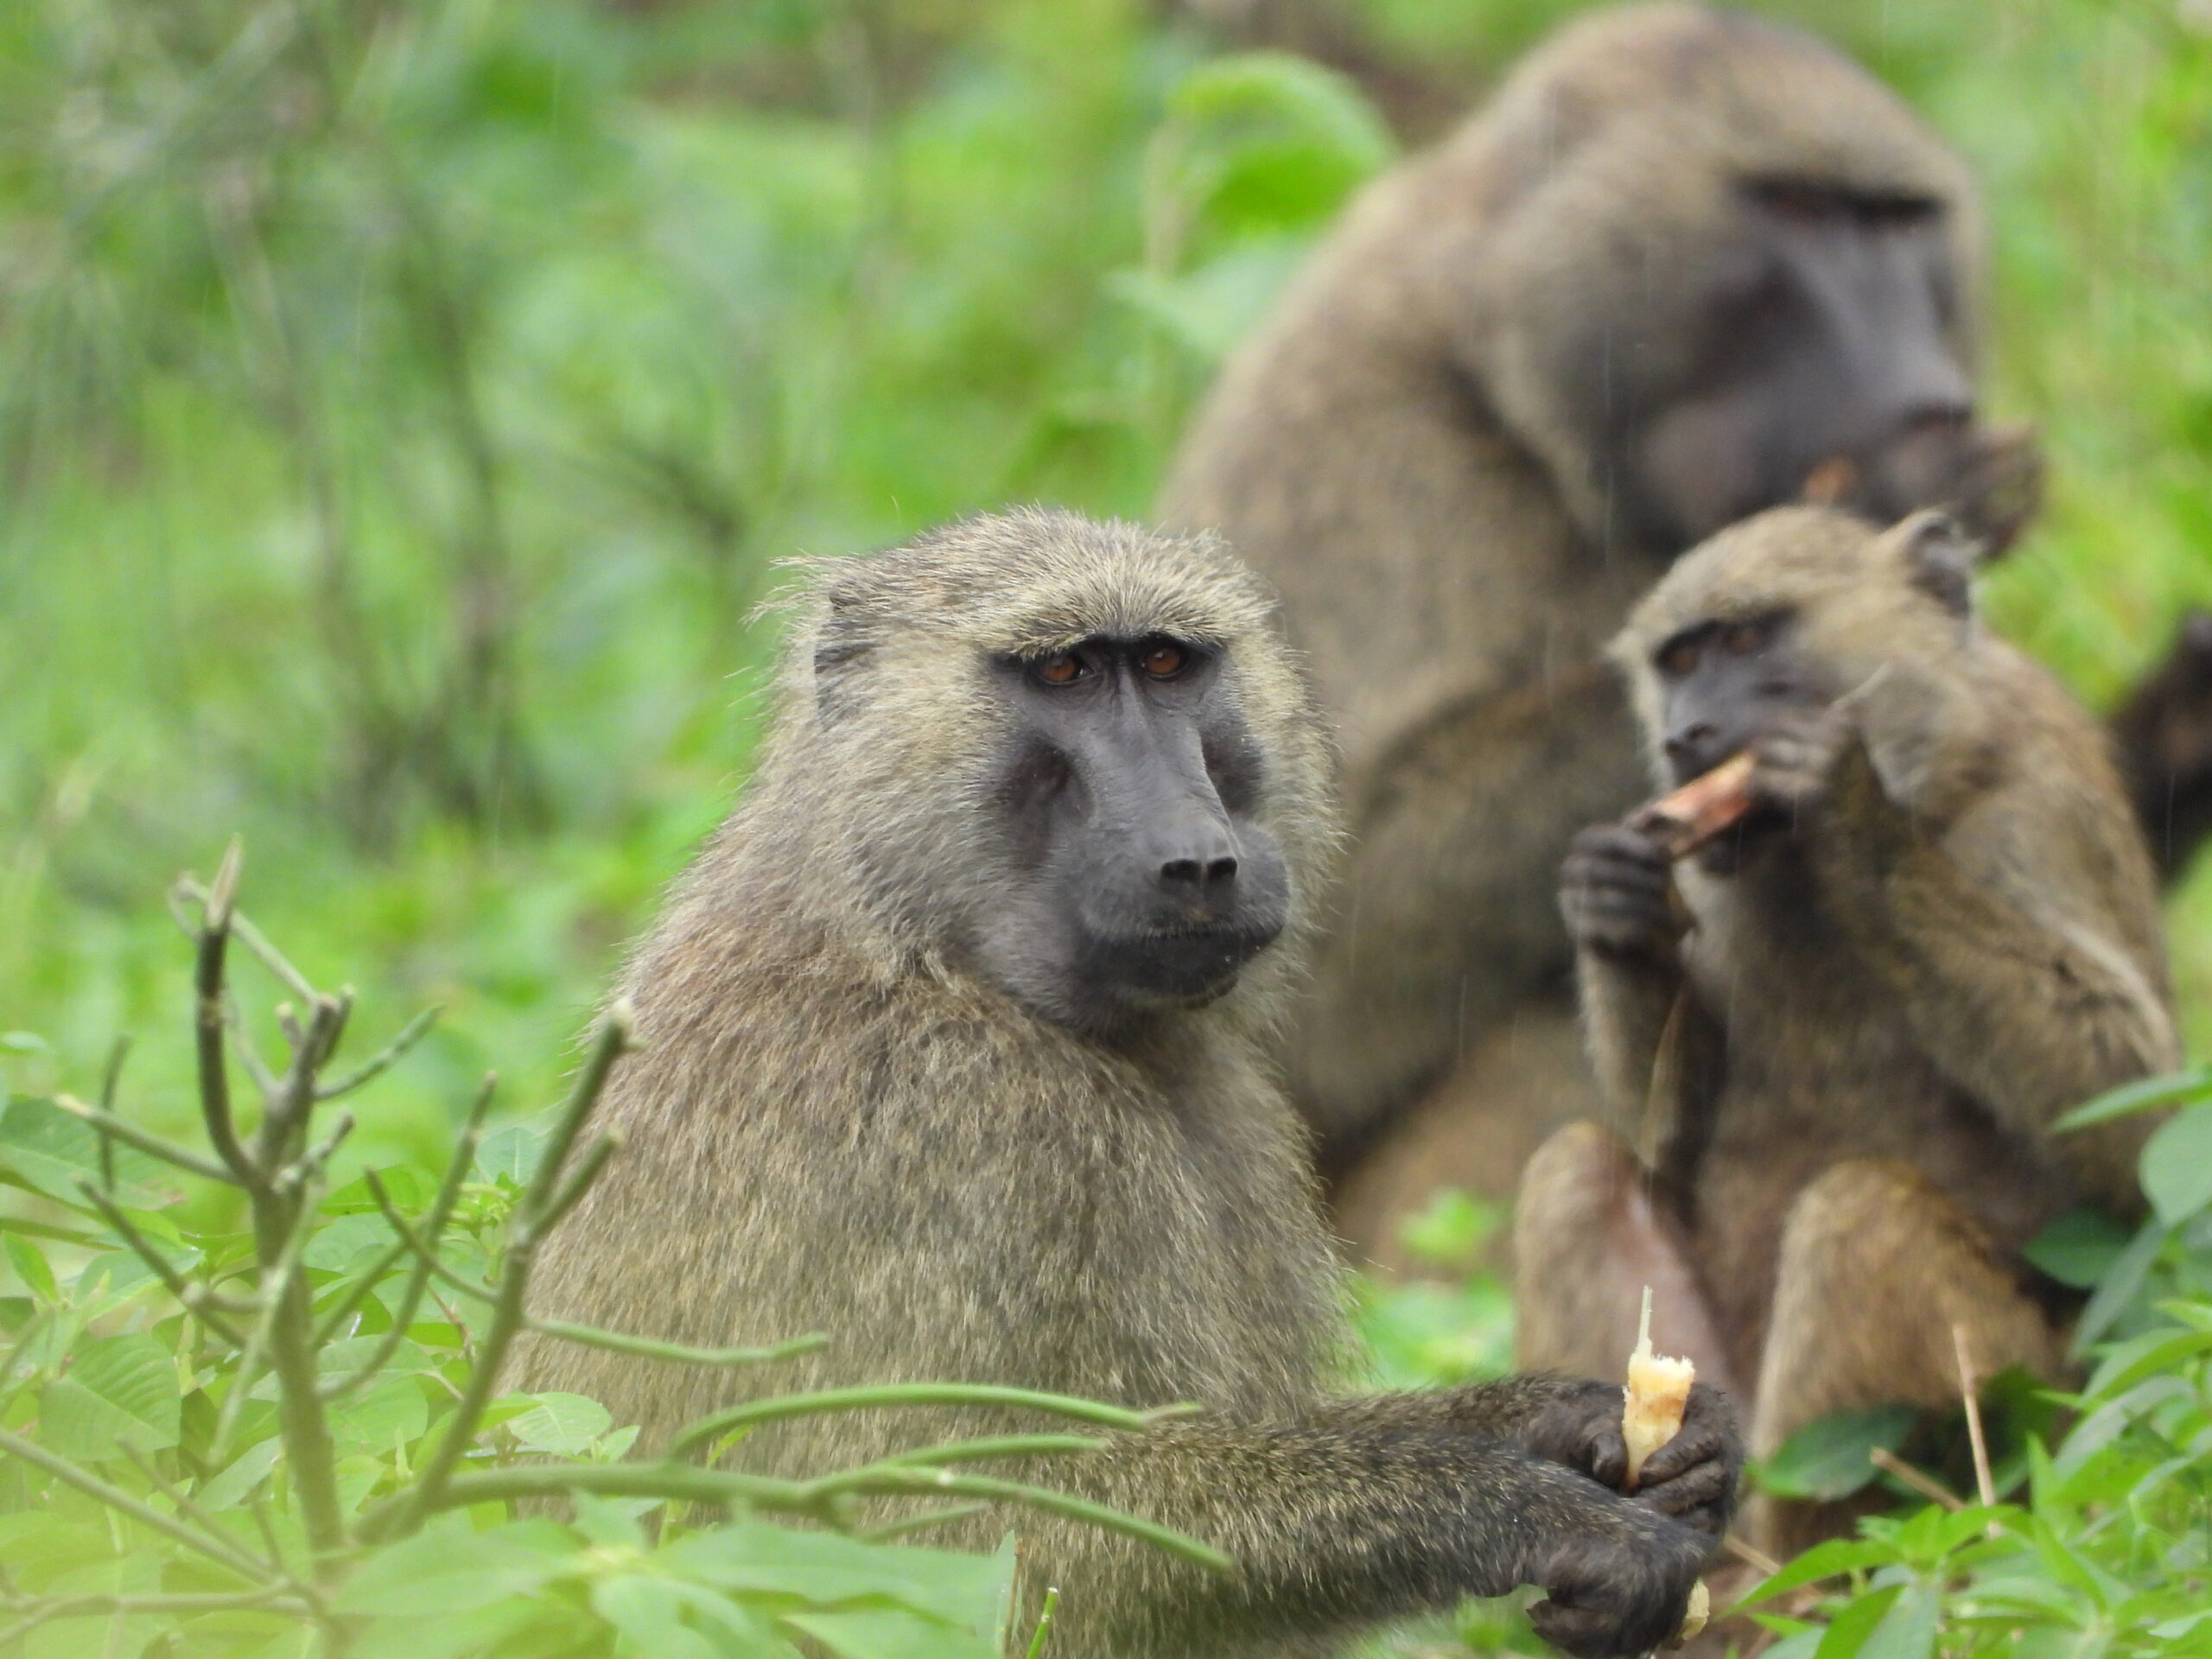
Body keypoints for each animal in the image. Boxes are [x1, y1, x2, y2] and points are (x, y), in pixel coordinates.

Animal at [510, 509, 1741, 1659]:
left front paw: (1582, 1420)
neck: (929, 949)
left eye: (1163, 664)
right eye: (1063, 673)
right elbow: (945, 1547)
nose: (1198, 858)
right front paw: (1535, 1512)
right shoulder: (957, 1134)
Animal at [1511, 505, 2179, 1557]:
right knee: (1574, 1173)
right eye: (1679, 660)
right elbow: (1666, 1145)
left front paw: (1846, 804)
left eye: (1747, 640)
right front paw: (1615, 904)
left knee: (1859, 1217)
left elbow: (2134, 1135)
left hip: (2050, 1412)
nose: (1686, 735)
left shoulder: (2038, 799)